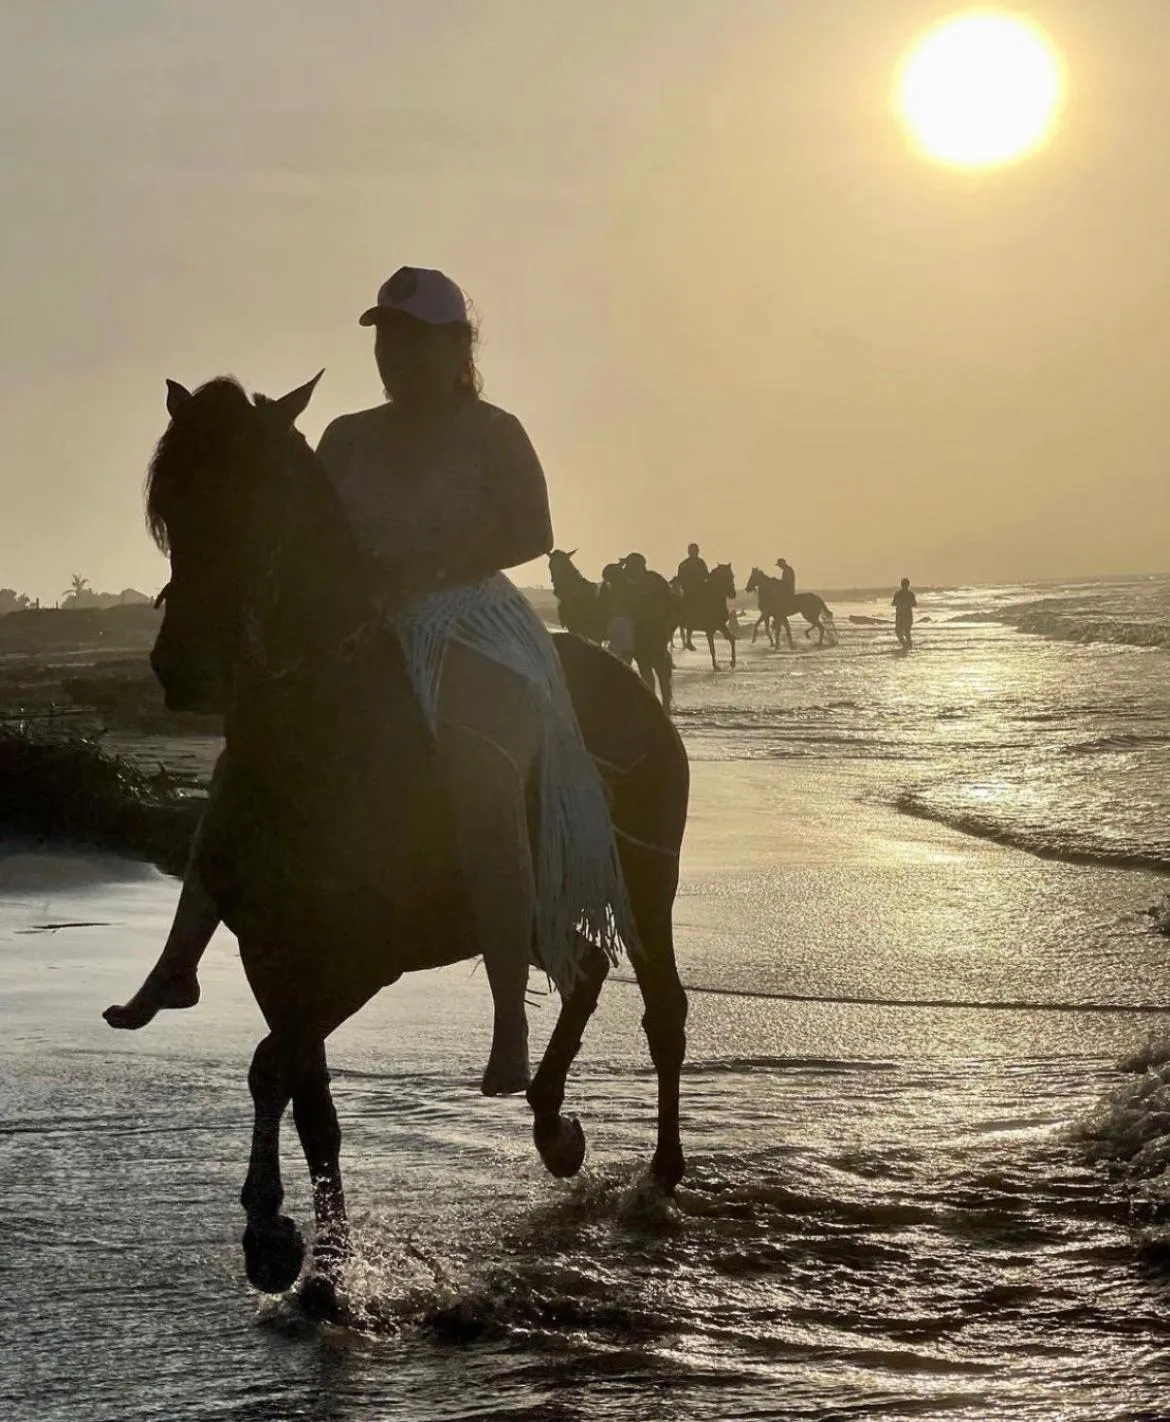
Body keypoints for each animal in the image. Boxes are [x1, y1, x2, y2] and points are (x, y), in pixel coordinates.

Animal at [144, 374, 690, 1304]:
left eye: (260, 503)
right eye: (171, 508)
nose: (184, 664)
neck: (323, 736)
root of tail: (631, 687)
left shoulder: (367, 958)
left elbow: (275, 1067)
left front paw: (278, 1237)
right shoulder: (275, 956)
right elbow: (305, 1095)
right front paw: (311, 1260)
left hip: (648, 887)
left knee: (663, 1012)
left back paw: (658, 1174)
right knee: (585, 968)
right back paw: (554, 1127)